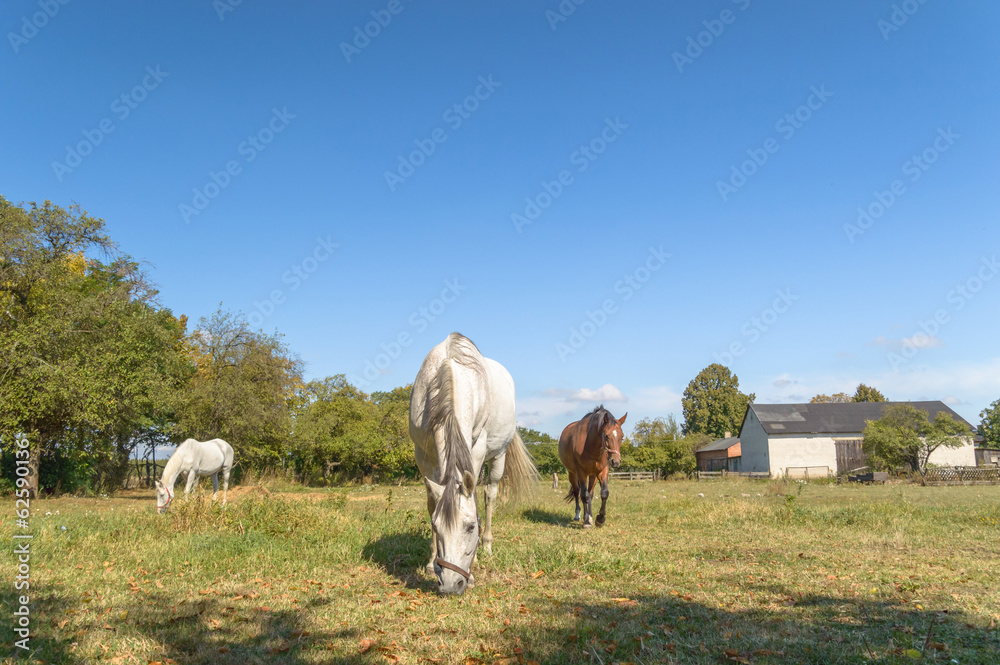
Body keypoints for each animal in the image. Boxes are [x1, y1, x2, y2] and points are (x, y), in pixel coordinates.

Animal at [409, 333, 539, 595]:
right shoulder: (423, 457)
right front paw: (431, 562)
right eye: (435, 527)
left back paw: (486, 546)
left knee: (489, 495)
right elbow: (432, 502)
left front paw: (475, 557)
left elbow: (478, 500)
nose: (451, 584)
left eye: (470, 527)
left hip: (498, 458)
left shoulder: (477, 451)